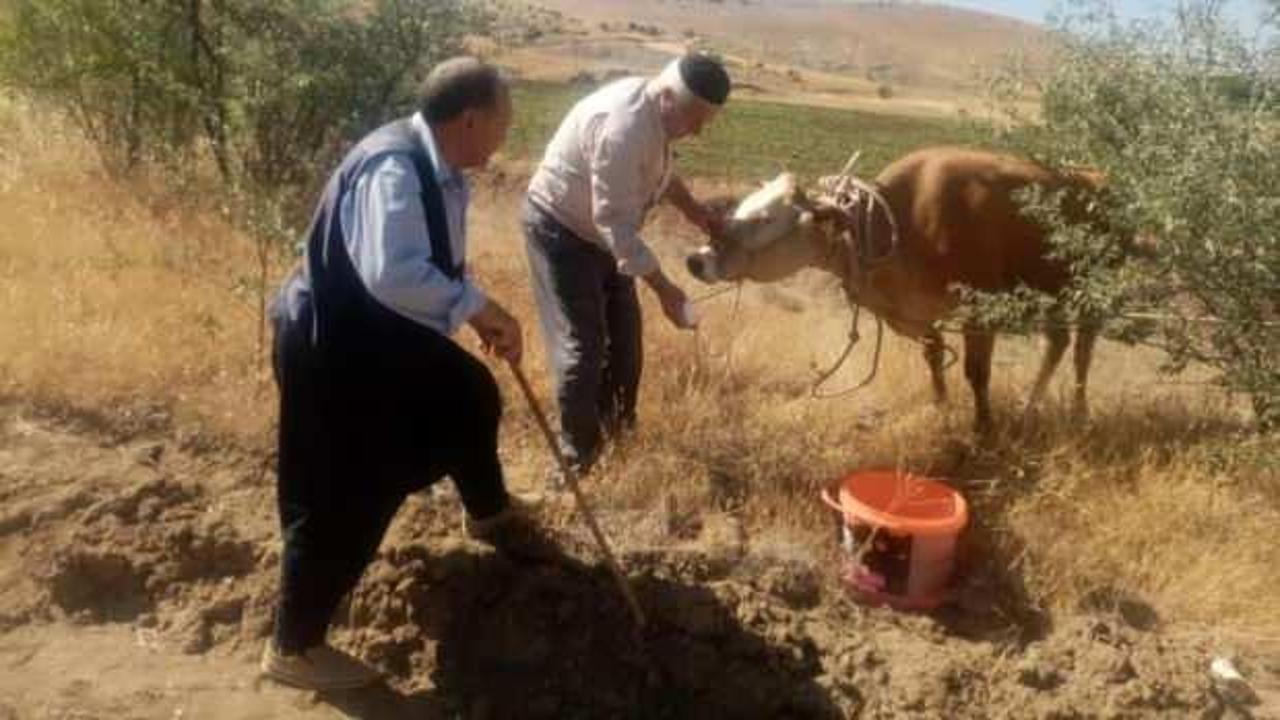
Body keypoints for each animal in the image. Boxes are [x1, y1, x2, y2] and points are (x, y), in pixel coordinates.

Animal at [686, 144, 1105, 425]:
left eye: (765, 219)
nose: (696, 260)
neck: (899, 227)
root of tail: (1091, 177)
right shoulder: (914, 314)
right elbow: (934, 358)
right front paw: (941, 408)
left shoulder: (980, 308)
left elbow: (977, 373)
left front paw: (983, 428)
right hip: (1051, 292)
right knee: (1058, 342)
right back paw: (1030, 408)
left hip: (1089, 293)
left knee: (1083, 349)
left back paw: (1079, 410)